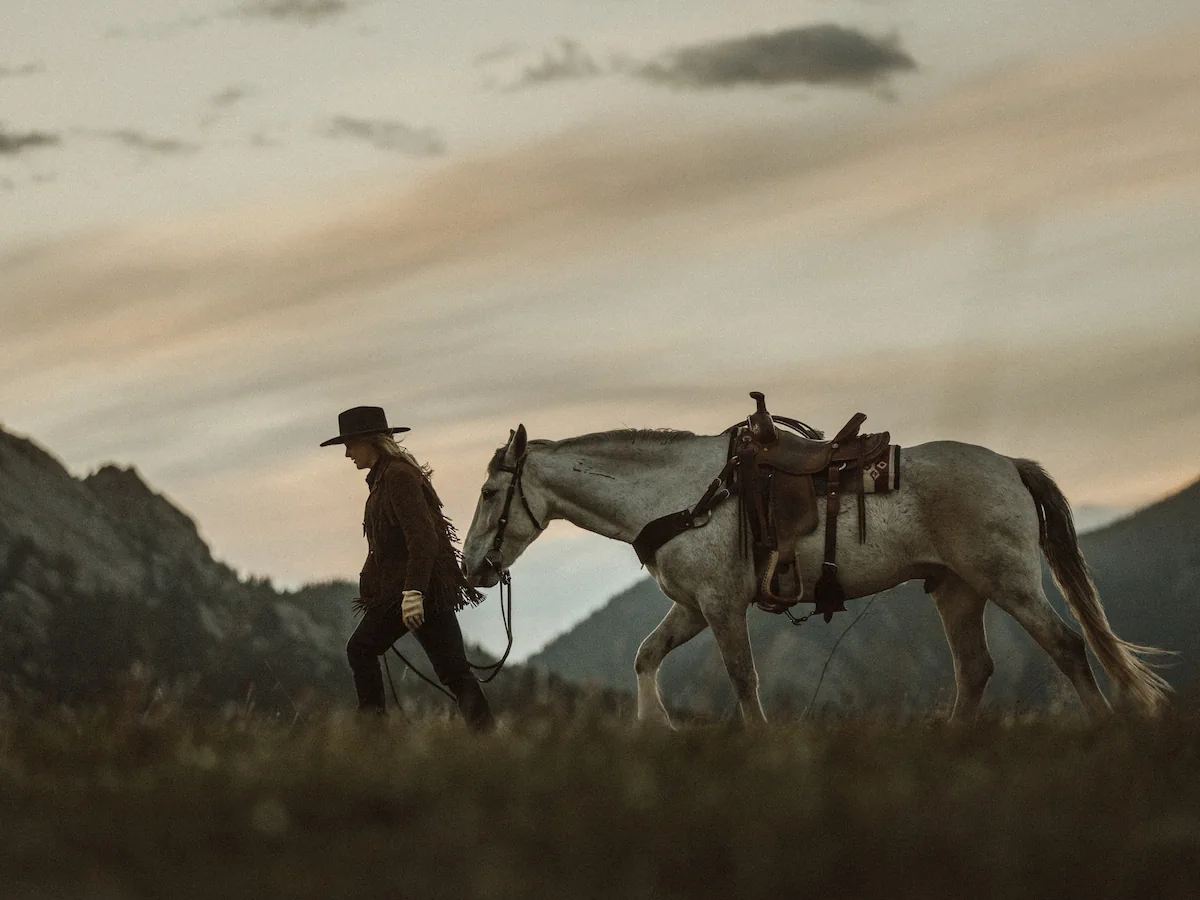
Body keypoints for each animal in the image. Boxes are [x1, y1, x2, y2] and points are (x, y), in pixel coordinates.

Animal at [460, 422, 1171, 724]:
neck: (682, 493)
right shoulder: (691, 608)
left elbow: (744, 682)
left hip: (1010, 583)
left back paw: (1106, 729)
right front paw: (654, 729)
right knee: (975, 671)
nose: (474, 568)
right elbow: (645, 657)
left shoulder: (721, 606)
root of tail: (1009, 465)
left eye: (492, 493)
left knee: (1067, 646)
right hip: (958, 592)